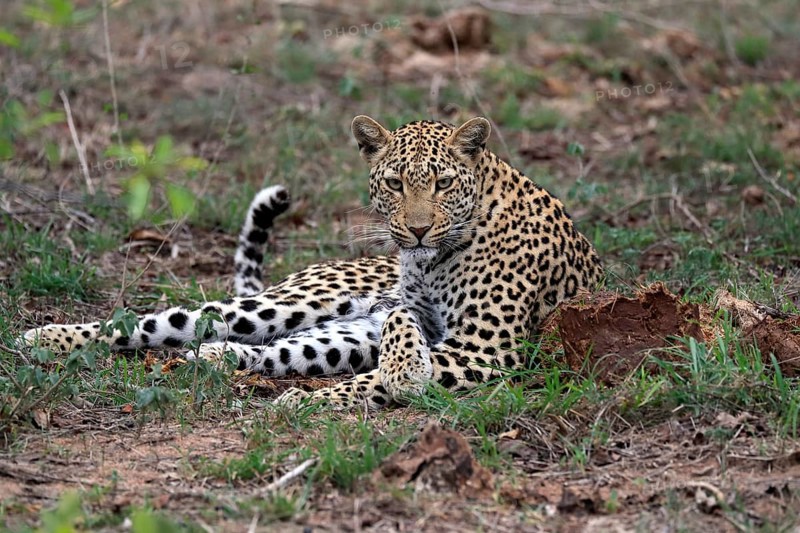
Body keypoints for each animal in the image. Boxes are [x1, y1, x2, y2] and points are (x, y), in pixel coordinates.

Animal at [22, 115, 603, 409]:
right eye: (396, 183)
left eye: (442, 183)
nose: (417, 229)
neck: (429, 262)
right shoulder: (450, 336)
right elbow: (401, 331)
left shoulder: (485, 352)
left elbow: (374, 377)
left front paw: (306, 402)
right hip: (288, 304)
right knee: (166, 322)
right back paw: (47, 336)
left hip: (344, 338)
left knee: (275, 352)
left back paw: (214, 360)